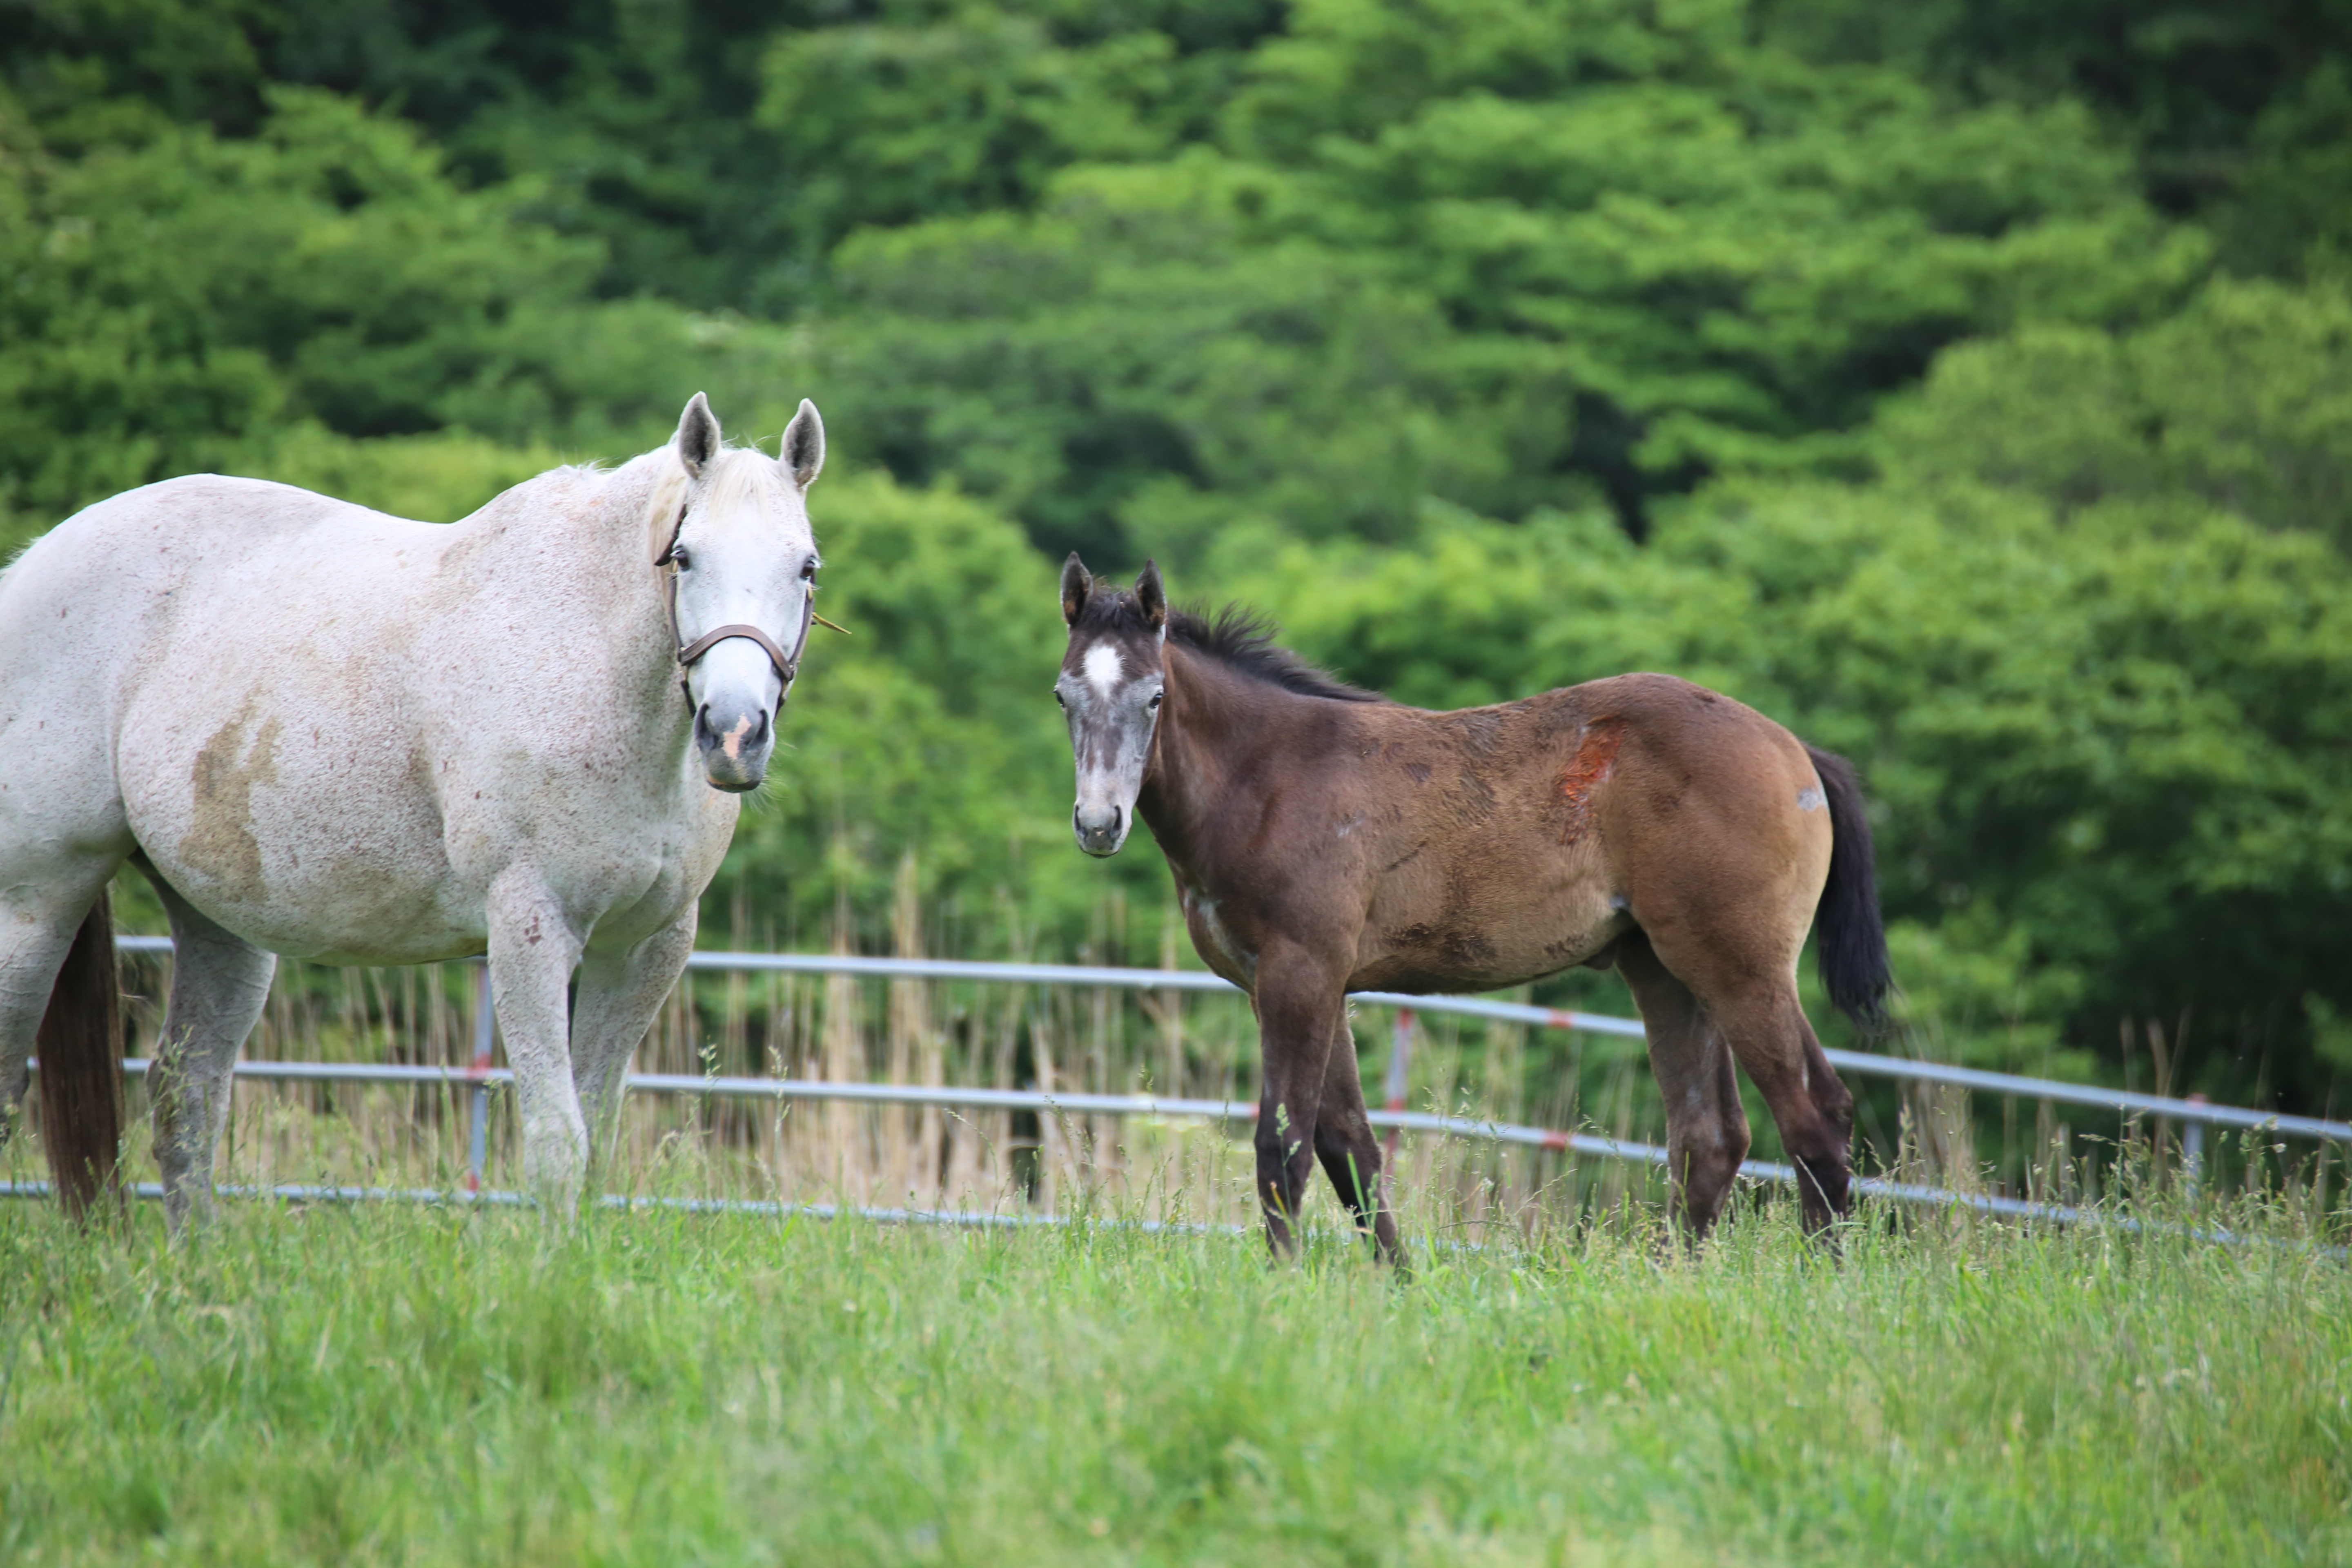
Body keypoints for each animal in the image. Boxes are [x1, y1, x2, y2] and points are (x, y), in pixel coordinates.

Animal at [0, 392, 828, 1222]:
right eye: (684, 558)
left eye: (807, 567)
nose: (734, 732)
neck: (588, 662)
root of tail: (31, 568)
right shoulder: (530, 928)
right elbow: (558, 1148)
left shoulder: (649, 945)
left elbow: (595, 1140)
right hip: (37, 901)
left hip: (219, 923)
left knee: (186, 1100)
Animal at [1063, 557, 1891, 1260]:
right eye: (1064, 696)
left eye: (1154, 697)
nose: (1099, 824)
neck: (1266, 778)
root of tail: (1796, 750)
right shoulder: (1295, 985)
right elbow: (1350, 1146)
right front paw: (1397, 1286)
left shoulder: (1302, 973)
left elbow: (1285, 1145)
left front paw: (1282, 1288)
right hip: (1665, 970)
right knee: (1711, 1137)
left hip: (1741, 967)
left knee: (1816, 1116)